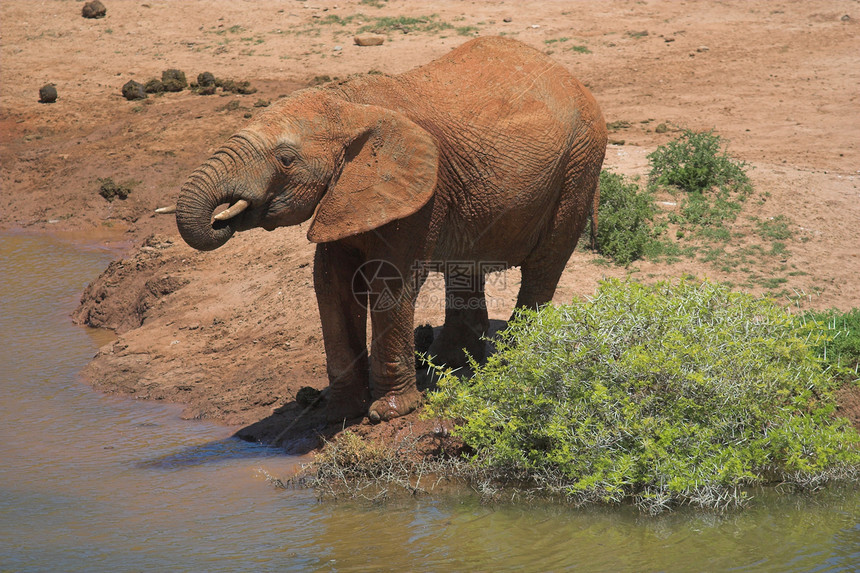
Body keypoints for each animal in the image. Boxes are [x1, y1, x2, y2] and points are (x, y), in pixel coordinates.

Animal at [171, 35, 608, 420]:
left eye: (285, 159)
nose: (220, 219)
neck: (348, 106)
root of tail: (572, 77)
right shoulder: (348, 196)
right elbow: (331, 283)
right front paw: (338, 414)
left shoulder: (423, 191)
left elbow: (388, 283)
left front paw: (388, 414)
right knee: (466, 266)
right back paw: (447, 364)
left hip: (580, 163)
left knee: (544, 265)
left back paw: (512, 359)